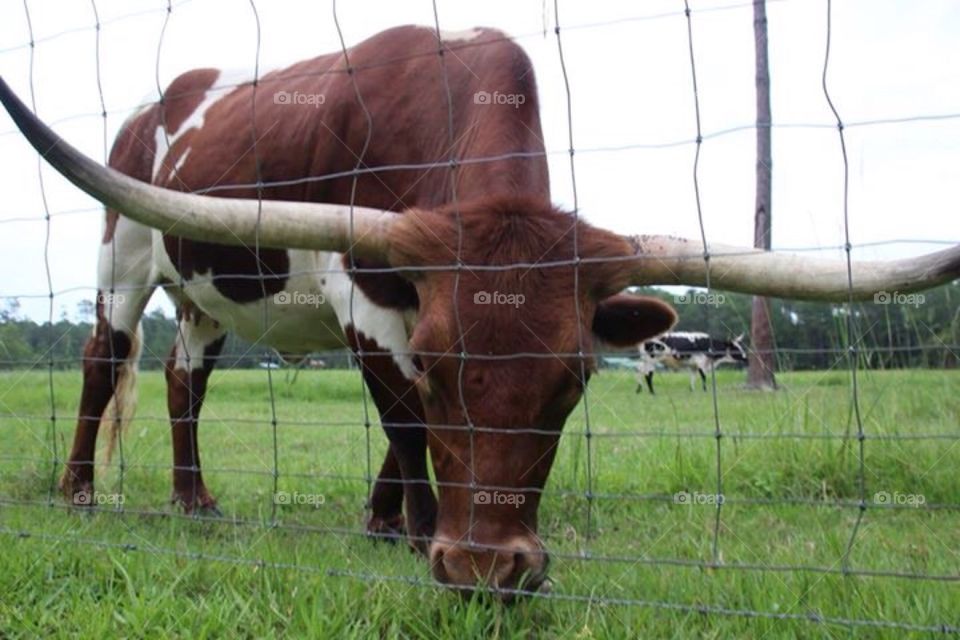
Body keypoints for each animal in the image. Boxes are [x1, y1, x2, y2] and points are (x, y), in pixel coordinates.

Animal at [3, 24, 959, 597]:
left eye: (575, 381)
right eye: (439, 365)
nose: (492, 569)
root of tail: (161, 99)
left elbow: (405, 431)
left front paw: (385, 523)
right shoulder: (367, 296)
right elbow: (405, 420)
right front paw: (426, 533)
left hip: (206, 286)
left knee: (183, 377)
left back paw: (194, 502)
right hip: (125, 248)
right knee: (102, 357)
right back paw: (79, 492)